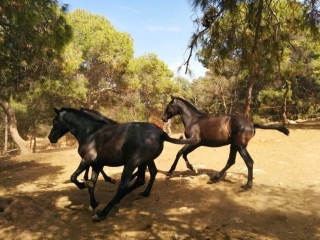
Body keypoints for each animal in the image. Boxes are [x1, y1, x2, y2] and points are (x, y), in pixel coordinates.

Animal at [48, 108, 198, 220]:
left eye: (54, 121)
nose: (50, 138)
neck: (90, 132)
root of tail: (160, 132)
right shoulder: (97, 164)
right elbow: (92, 184)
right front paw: (94, 204)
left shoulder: (87, 160)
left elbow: (74, 178)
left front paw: (84, 186)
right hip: (145, 161)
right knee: (145, 177)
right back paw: (141, 194)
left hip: (131, 164)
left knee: (125, 186)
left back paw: (103, 213)